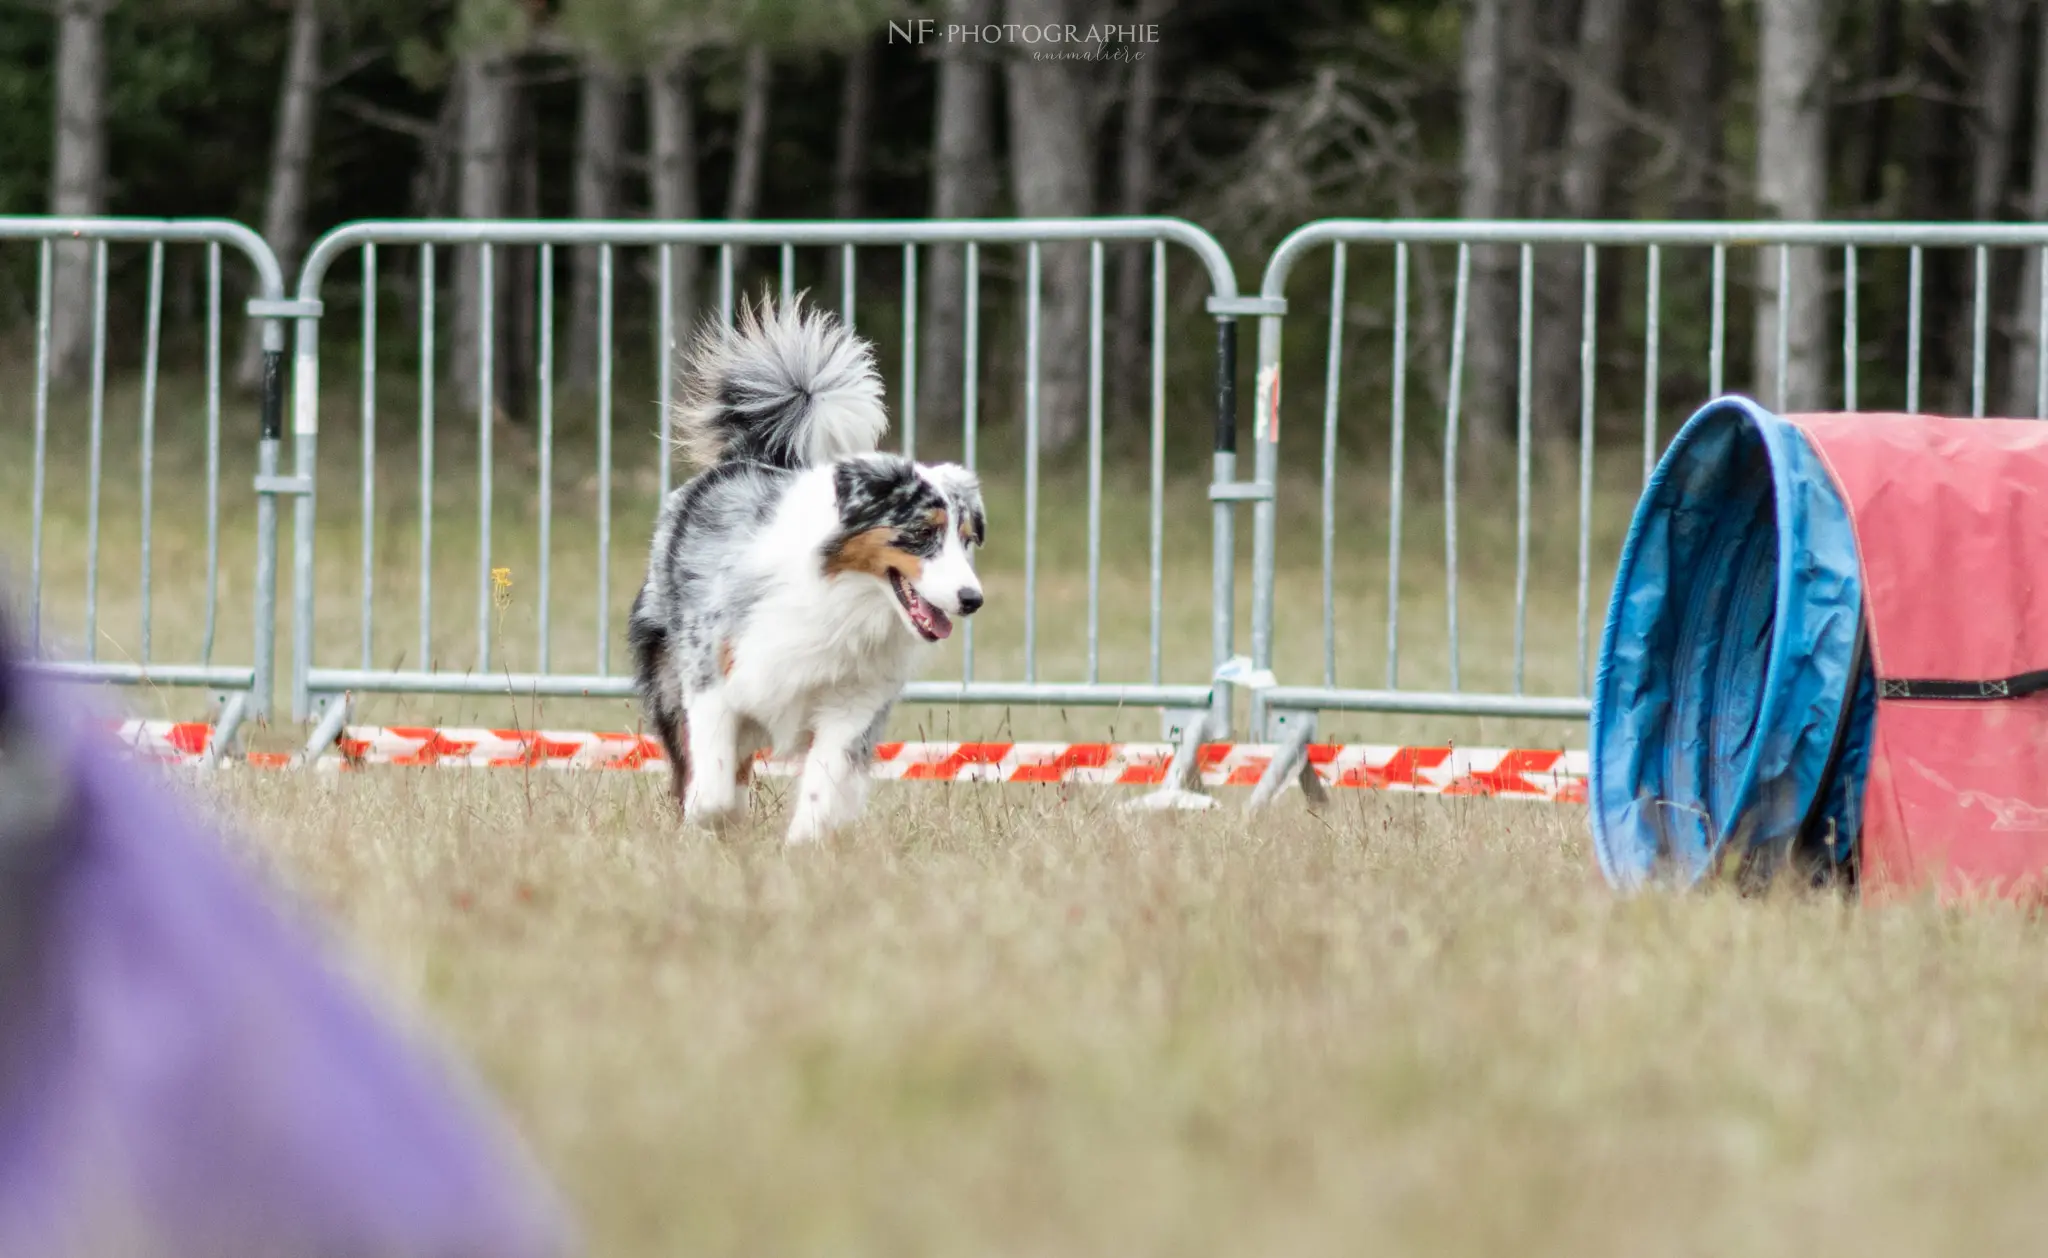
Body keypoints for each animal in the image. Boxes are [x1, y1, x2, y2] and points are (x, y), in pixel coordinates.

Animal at [626, 297, 987, 848]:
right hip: (666, 671)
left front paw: (803, 847)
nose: (972, 599)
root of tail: (749, 455)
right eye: (923, 533)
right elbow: (712, 786)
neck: (846, 596)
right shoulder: (714, 677)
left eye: (967, 539)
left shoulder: (852, 703)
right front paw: (714, 823)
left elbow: (822, 785)